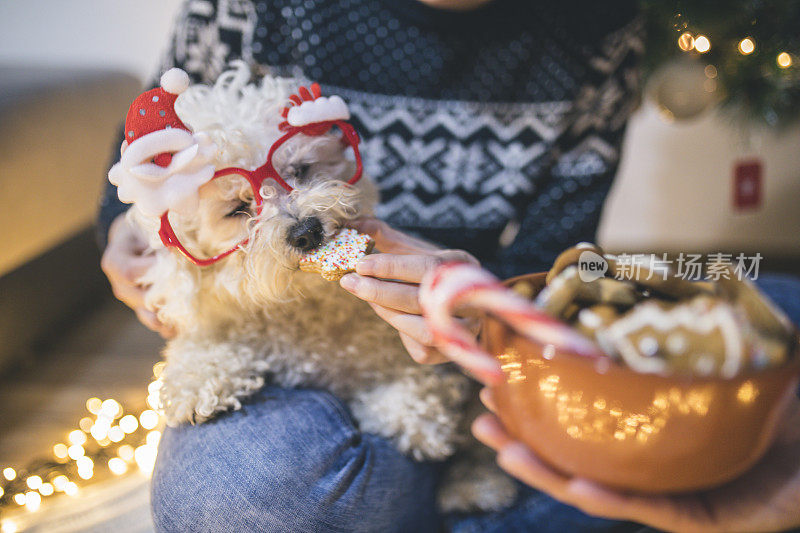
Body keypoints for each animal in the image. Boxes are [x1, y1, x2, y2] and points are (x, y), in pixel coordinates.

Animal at [111, 62, 512, 512]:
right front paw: (197, 383)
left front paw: (411, 418)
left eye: (300, 171)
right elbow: (199, 348)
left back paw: (474, 483)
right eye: (238, 209)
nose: (306, 231)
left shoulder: (416, 364)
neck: (305, 308)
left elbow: (424, 390)